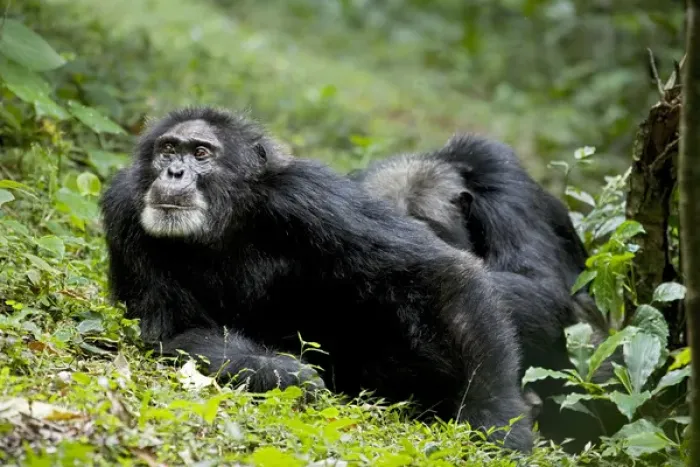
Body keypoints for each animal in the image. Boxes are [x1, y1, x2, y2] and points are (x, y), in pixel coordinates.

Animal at [100, 107, 534, 452]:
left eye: (201, 153)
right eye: (168, 149)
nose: (174, 171)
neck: (227, 219)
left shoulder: (311, 194)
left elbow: (433, 272)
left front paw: (496, 418)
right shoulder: (123, 207)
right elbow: (178, 328)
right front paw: (284, 374)